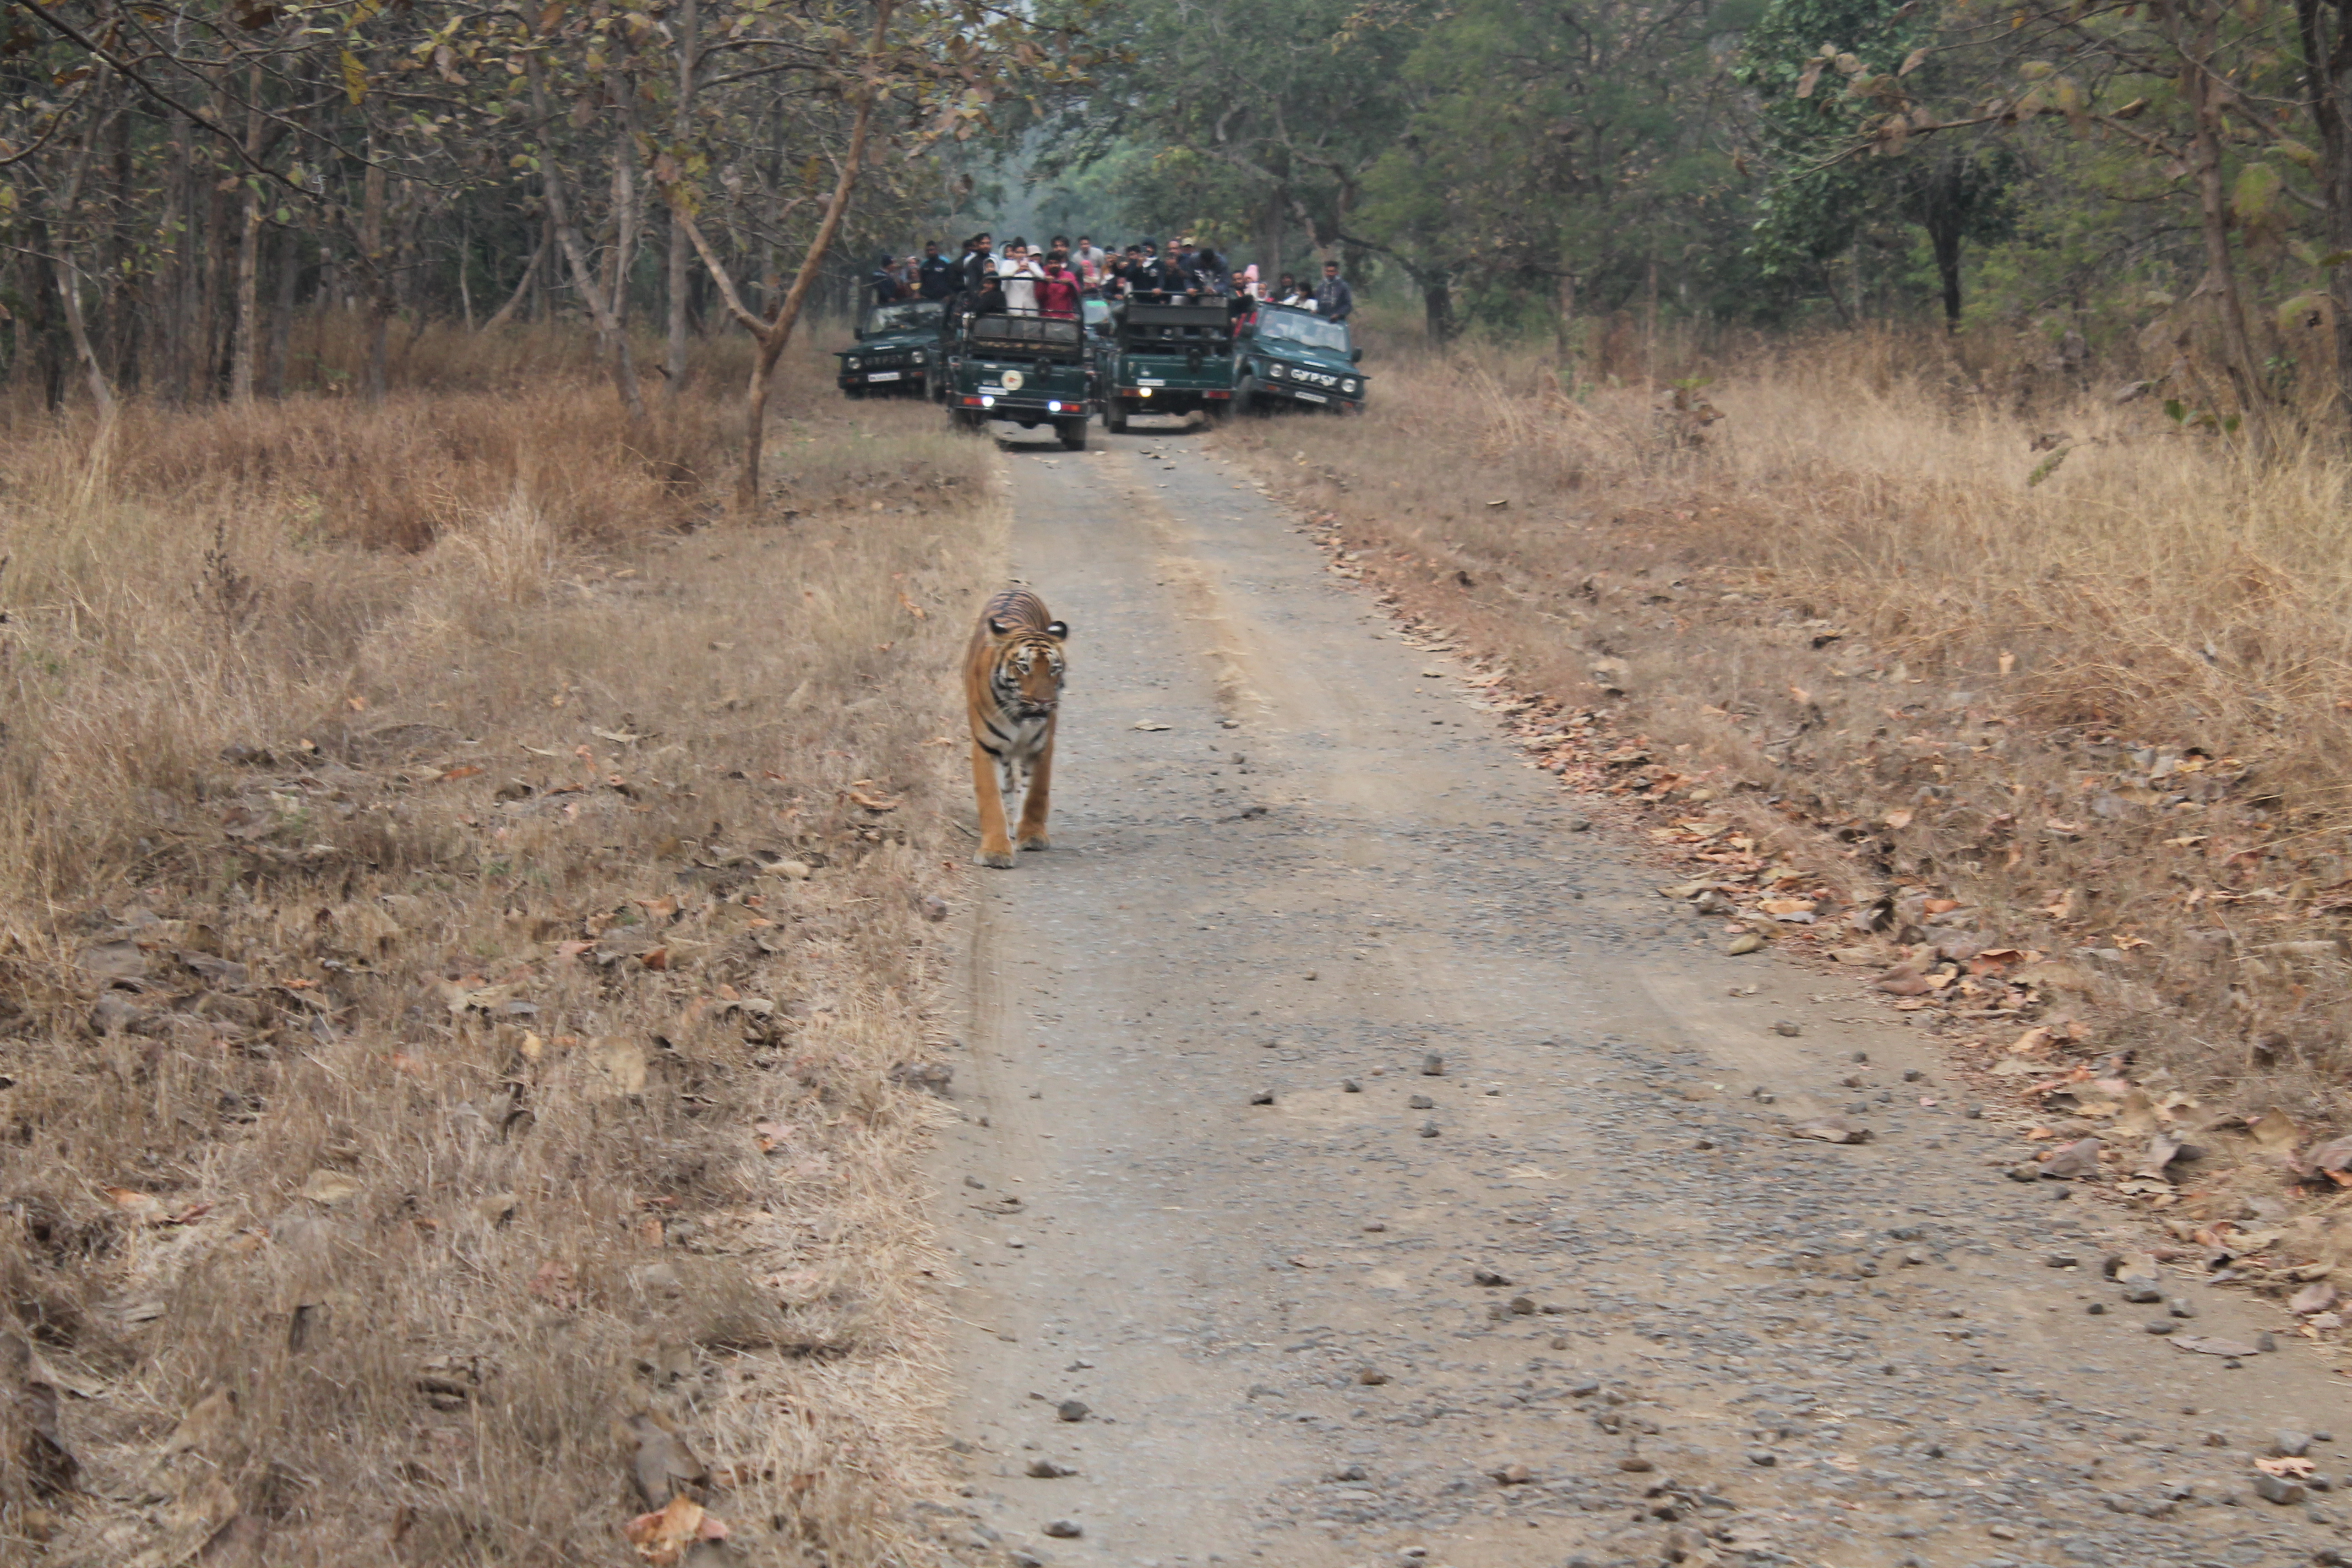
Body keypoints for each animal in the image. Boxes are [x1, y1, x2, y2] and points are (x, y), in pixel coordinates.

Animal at [964, 585, 1068, 865]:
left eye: (1054, 669)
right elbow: (991, 799)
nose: (1044, 702)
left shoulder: (1042, 745)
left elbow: (1036, 793)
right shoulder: (986, 747)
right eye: (1024, 667)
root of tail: (1015, 588)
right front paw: (995, 852)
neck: (1020, 718)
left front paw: (1032, 836)